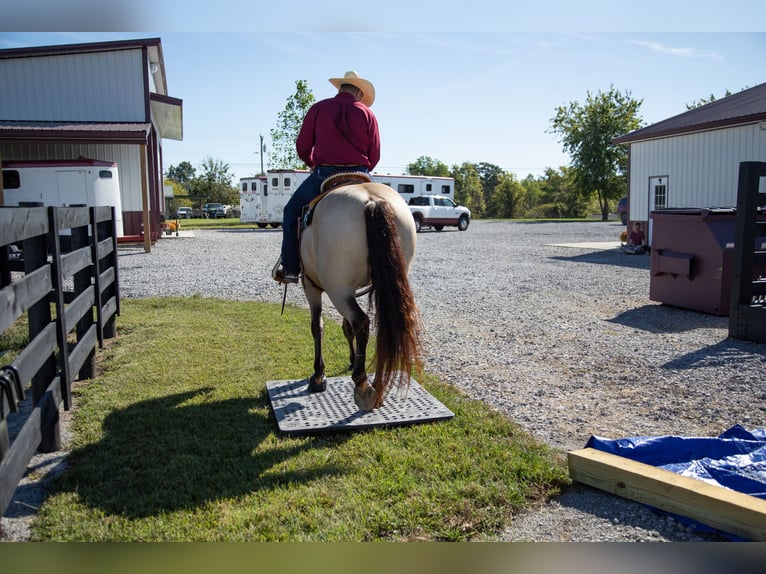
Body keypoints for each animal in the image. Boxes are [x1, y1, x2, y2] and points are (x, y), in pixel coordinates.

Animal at [298, 181, 422, 411]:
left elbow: (318, 326)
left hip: (337, 289)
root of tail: (372, 201)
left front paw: (318, 375)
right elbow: (346, 328)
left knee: (361, 322)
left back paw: (362, 384)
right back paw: (377, 389)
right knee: (382, 328)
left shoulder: (311, 285)